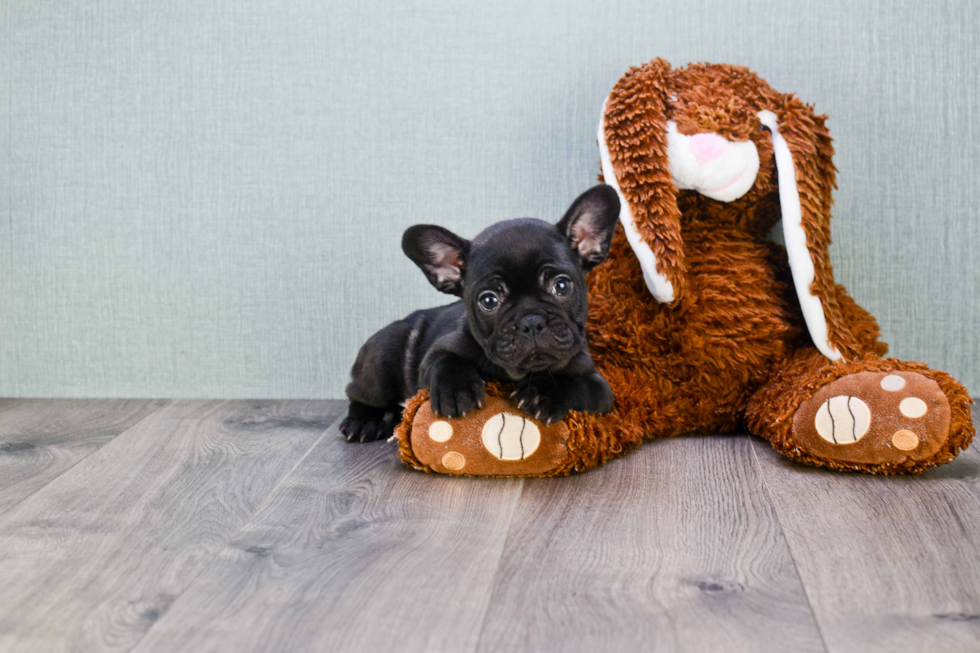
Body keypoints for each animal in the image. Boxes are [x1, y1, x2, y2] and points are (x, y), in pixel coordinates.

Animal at [340, 186, 616, 446]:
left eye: (561, 286)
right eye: (489, 301)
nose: (531, 321)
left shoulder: (600, 389)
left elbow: (576, 384)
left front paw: (545, 393)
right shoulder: (435, 353)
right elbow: (446, 360)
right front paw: (456, 389)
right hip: (384, 353)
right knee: (359, 393)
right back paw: (363, 422)